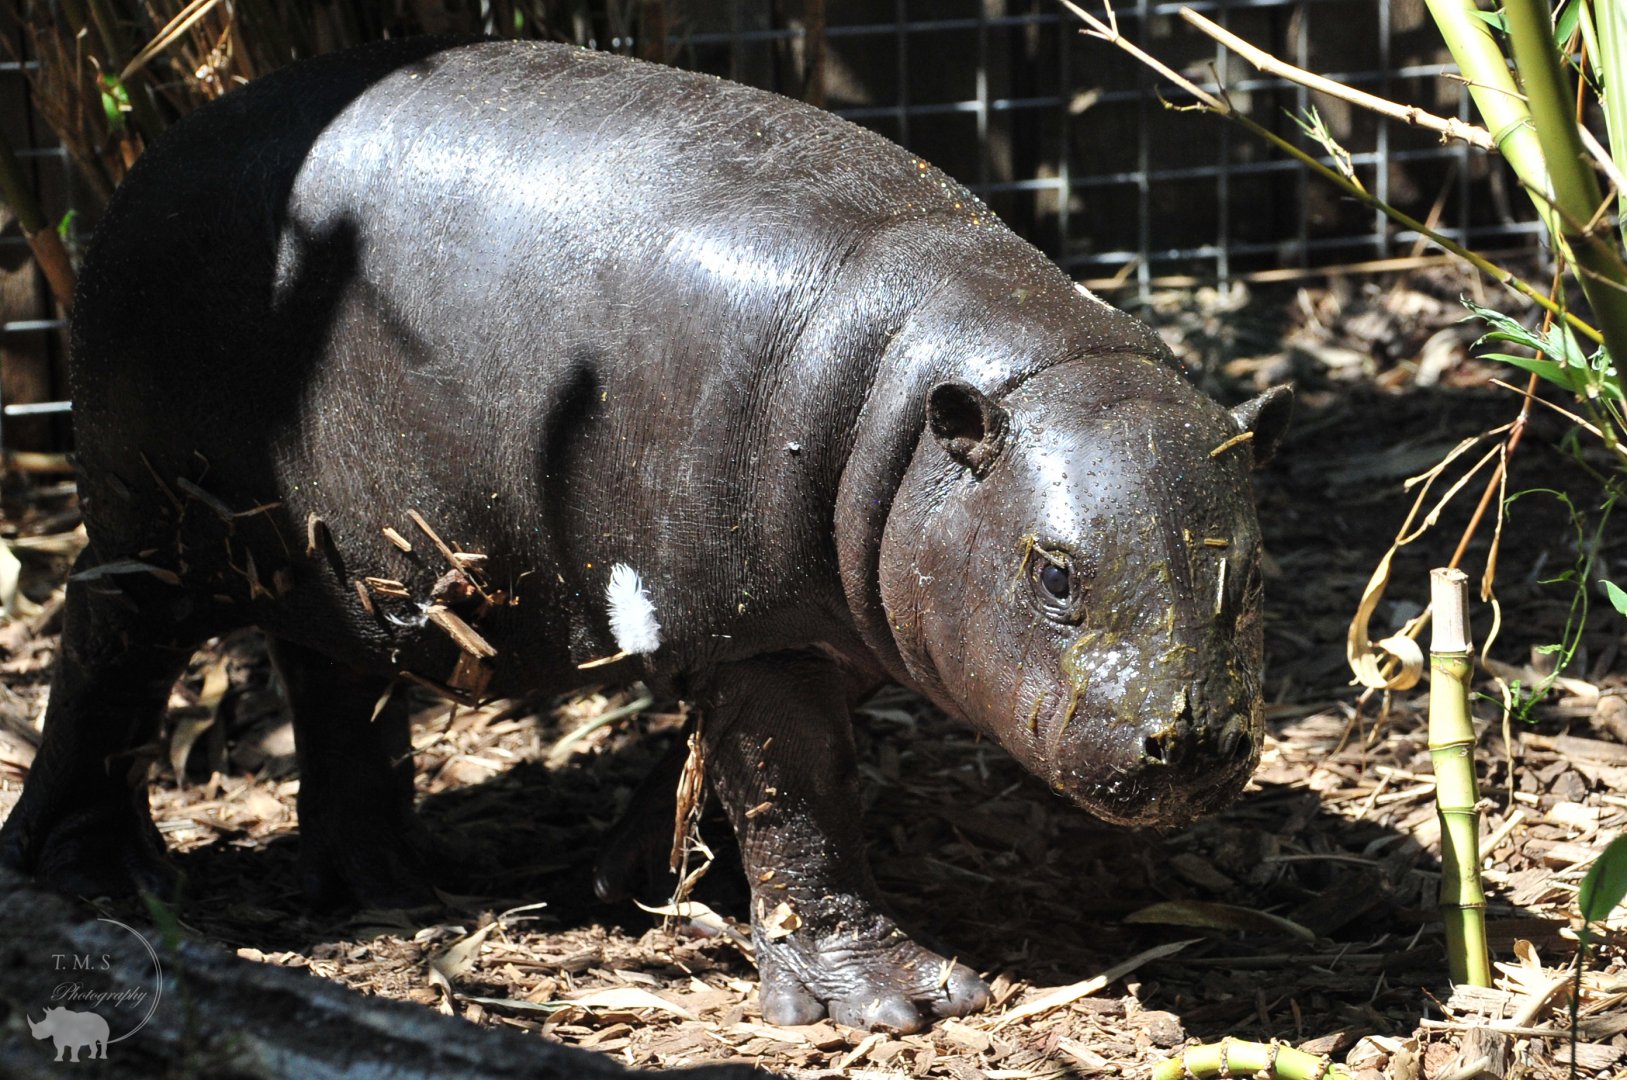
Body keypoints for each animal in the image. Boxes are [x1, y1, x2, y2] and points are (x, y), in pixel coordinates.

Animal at [0, 38, 1290, 1033]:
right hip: (148, 522)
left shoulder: (796, 627)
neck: (936, 398)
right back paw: (94, 874)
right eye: (1054, 573)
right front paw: (901, 1004)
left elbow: (716, 775)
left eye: (1256, 568)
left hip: (335, 550)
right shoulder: (755, 628)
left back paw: (392, 883)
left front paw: (623, 888)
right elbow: (796, 799)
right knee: (107, 656)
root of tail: (148, 156)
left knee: (333, 681)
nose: (1193, 739)